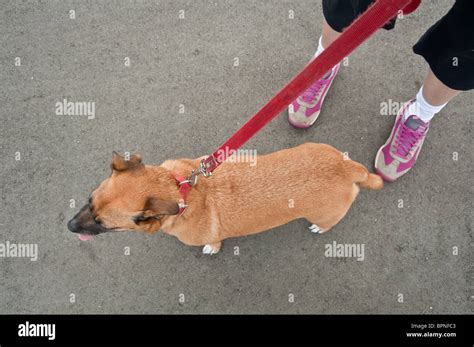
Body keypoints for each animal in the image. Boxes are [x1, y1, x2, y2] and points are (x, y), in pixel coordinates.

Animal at [68, 144, 384, 256]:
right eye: (88, 199)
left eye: (102, 224)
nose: (69, 227)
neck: (180, 190)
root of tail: (349, 167)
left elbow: (214, 243)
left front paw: (212, 248)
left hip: (324, 215)